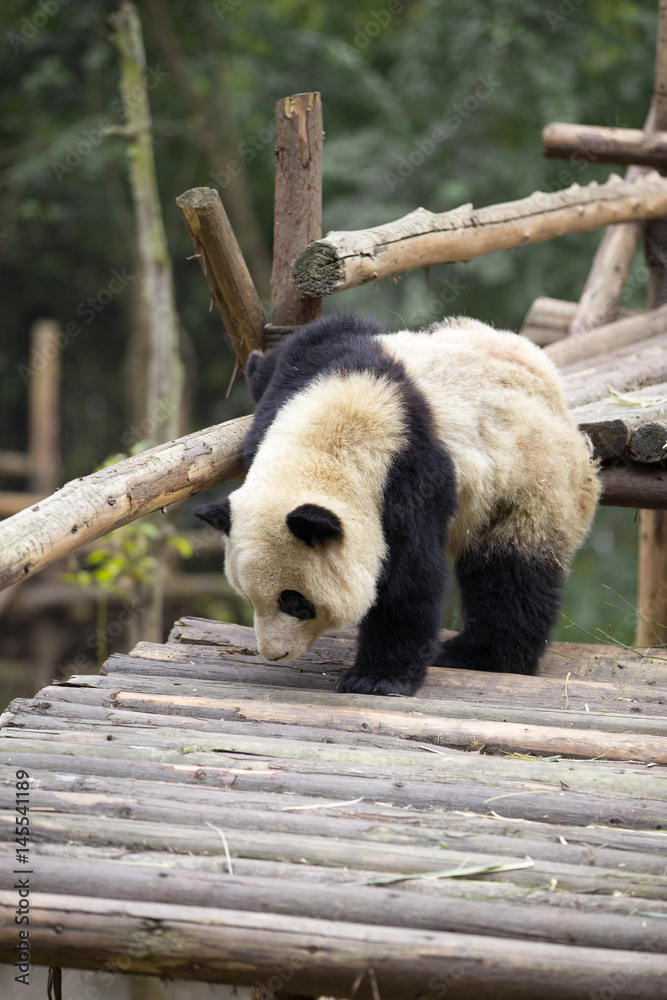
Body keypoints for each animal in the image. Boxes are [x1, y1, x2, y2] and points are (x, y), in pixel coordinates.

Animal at [195, 313, 600, 696]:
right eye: (249, 598)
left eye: (294, 601)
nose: (275, 653)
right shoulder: (304, 377)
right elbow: (306, 344)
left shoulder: (411, 481)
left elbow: (410, 575)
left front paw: (377, 678)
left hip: (530, 480)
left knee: (512, 572)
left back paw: (483, 655)